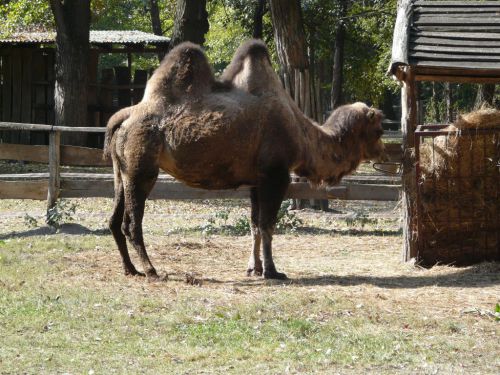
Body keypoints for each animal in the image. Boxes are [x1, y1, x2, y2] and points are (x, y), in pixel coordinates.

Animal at [103, 41, 386, 282]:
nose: (384, 152)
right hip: (142, 169)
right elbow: (268, 224)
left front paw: (254, 268)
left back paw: (130, 269)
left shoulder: (256, 180)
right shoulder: (276, 175)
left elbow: (254, 225)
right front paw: (272, 271)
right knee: (132, 223)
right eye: (379, 130)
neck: (302, 135)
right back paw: (151, 270)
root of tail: (124, 116)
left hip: (122, 171)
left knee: (114, 220)